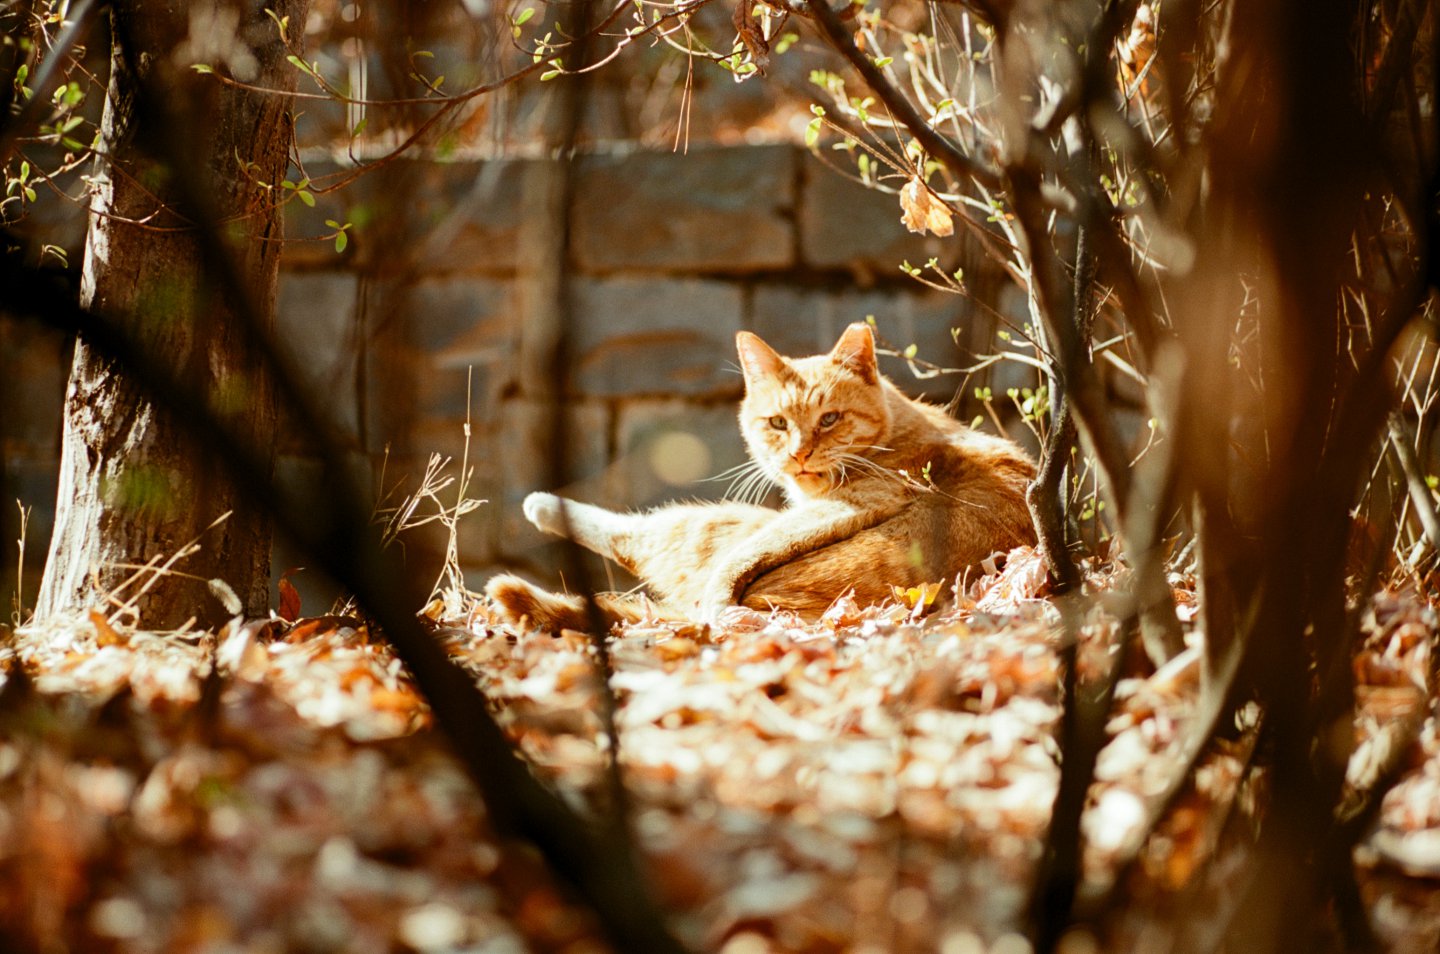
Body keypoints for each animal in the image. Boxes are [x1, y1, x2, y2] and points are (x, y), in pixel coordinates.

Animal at [483, 325, 1036, 631]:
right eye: (777, 423)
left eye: (829, 419)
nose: (799, 453)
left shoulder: (862, 497)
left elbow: (730, 565)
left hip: (722, 523)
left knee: (637, 538)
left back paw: (541, 506)